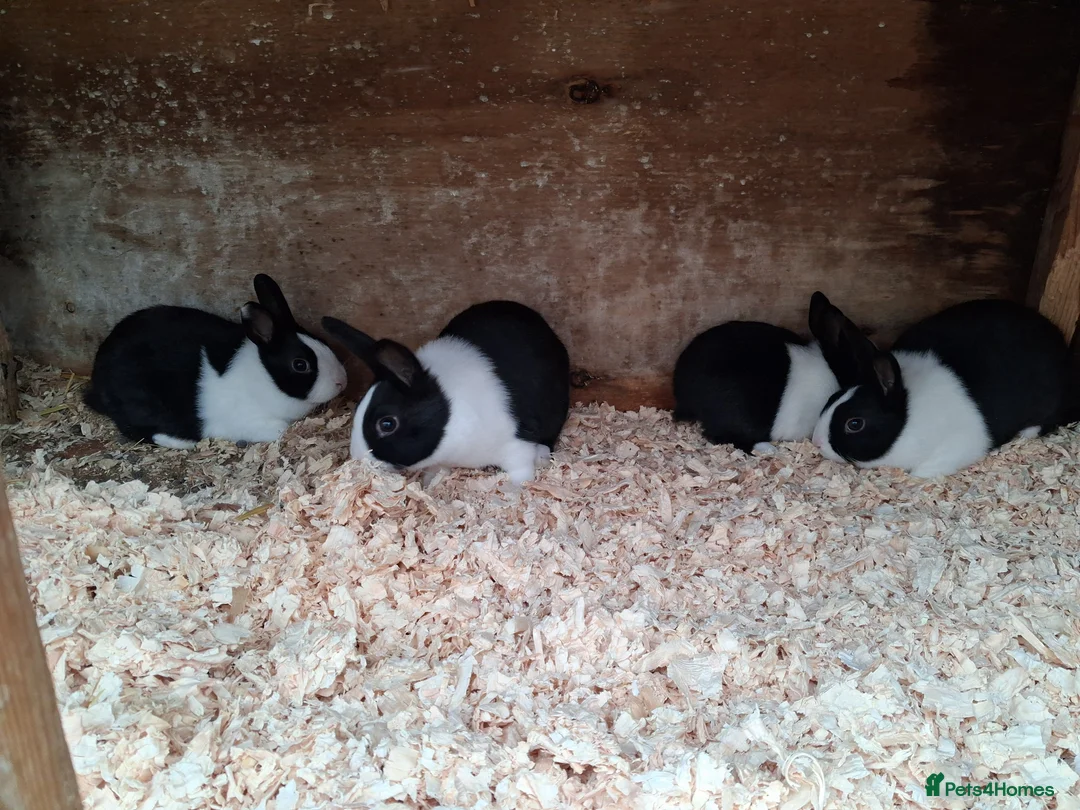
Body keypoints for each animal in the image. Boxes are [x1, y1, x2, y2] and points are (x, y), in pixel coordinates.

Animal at [84, 274, 347, 449]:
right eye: (300, 364)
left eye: (322, 340)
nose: (342, 382)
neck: (264, 378)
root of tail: (97, 377)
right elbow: (280, 429)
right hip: (139, 402)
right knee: (135, 428)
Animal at [321, 300, 570, 486]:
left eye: (387, 424)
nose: (358, 457)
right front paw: (429, 484)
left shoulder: (516, 446)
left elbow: (522, 472)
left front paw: (512, 492)